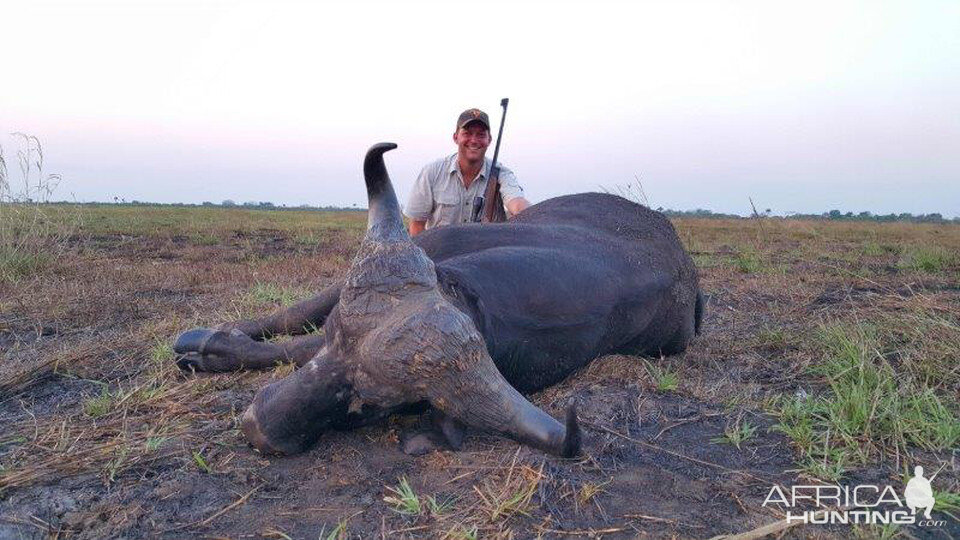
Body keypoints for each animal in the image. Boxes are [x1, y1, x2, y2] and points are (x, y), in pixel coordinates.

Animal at [172, 143, 700, 460]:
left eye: (369, 404)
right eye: (333, 337)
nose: (256, 428)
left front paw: (211, 353)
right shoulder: (429, 248)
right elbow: (295, 327)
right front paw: (206, 344)